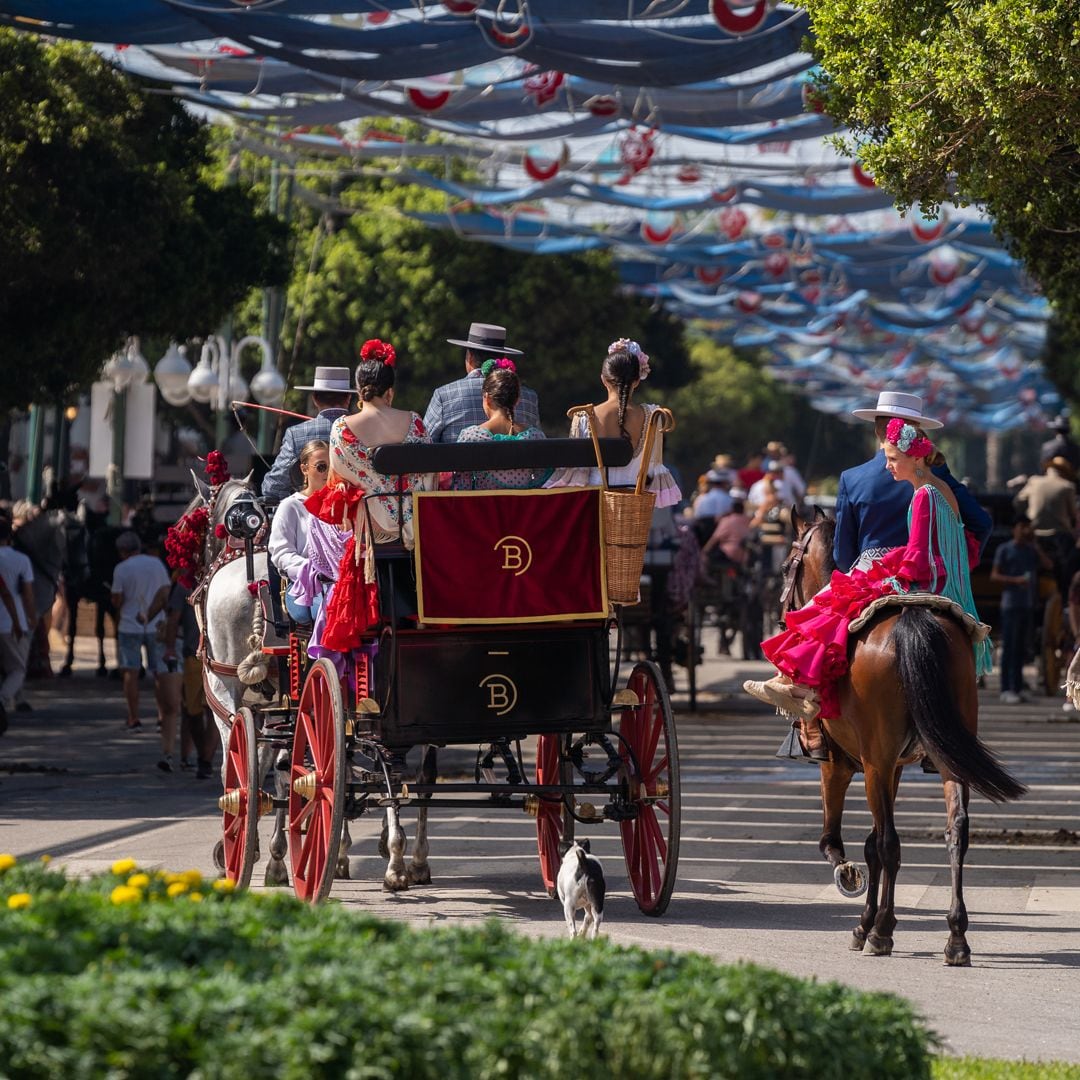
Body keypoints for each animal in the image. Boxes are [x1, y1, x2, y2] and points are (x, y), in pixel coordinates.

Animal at [781, 509, 1023, 967]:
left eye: (787, 565)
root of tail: (914, 620)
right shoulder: (891, 767)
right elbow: (872, 845)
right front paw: (873, 920)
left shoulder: (843, 766)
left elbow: (841, 841)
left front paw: (865, 915)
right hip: (946, 759)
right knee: (956, 831)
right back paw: (956, 937)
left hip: (874, 762)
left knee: (890, 842)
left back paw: (883, 934)